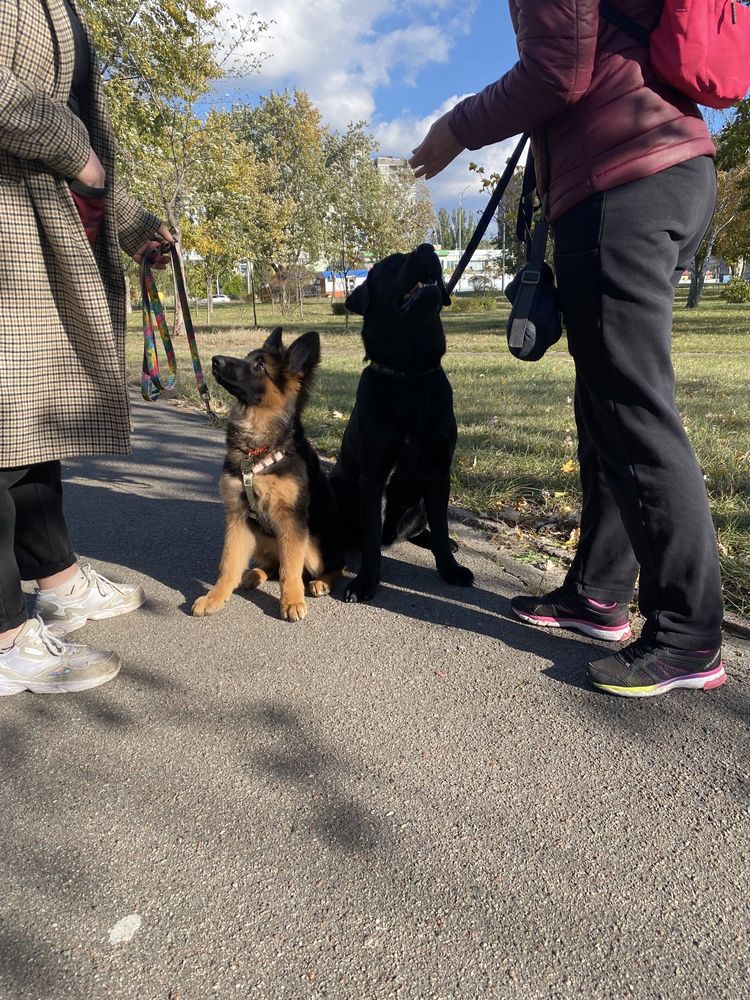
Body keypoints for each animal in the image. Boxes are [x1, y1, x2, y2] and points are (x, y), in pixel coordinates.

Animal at [194, 328, 346, 620]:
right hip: (260, 538)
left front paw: (292, 601)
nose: (215, 360)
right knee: (273, 565)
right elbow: (228, 564)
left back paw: (321, 582)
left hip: (313, 546)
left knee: (334, 565)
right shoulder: (238, 518)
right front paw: (215, 597)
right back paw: (255, 574)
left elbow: (291, 570)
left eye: (259, 366)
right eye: (246, 357)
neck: (258, 448)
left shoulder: (291, 521)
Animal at [330, 242, 472, 600]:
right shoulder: (374, 475)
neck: (410, 374)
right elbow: (370, 539)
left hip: (420, 500)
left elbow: (441, 524)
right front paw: (365, 581)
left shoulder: (439, 472)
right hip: (336, 488)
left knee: (427, 527)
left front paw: (450, 568)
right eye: (392, 265)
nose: (428, 247)